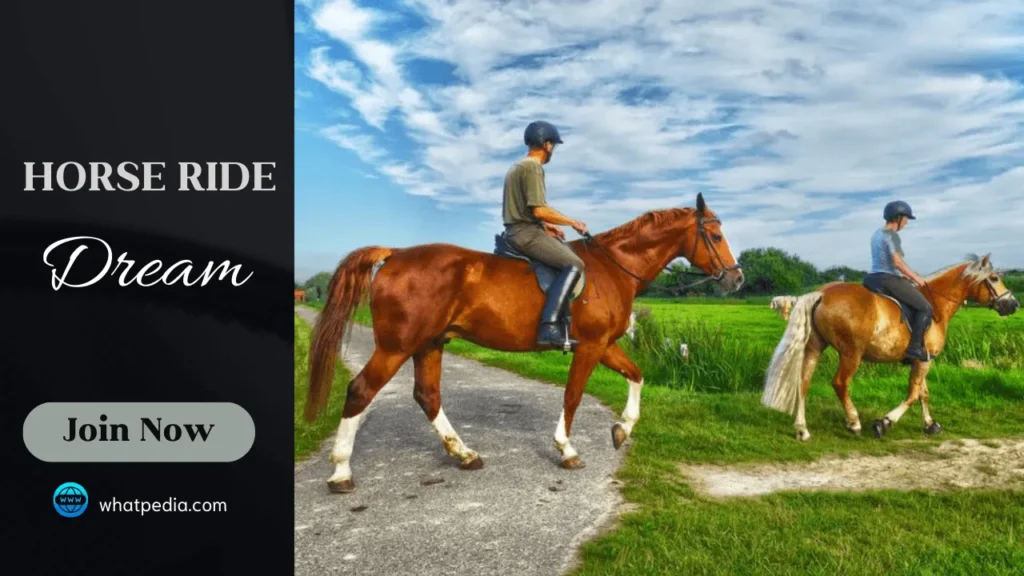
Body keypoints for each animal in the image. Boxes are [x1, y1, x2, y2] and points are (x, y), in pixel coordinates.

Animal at [303, 192, 745, 494]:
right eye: (715, 234)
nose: (737, 278)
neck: (612, 269)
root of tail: (394, 254)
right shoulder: (590, 346)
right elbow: (572, 395)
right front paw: (566, 450)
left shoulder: (604, 345)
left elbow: (636, 376)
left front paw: (622, 429)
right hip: (397, 347)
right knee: (361, 391)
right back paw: (341, 471)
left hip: (429, 344)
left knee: (427, 395)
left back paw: (465, 454)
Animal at [761, 252, 1015, 438]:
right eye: (994, 278)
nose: (1013, 304)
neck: (936, 305)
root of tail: (821, 293)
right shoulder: (925, 361)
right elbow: (913, 394)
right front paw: (884, 422)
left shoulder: (921, 359)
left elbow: (923, 393)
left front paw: (930, 424)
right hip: (851, 353)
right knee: (840, 383)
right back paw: (854, 422)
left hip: (815, 348)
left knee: (803, 382)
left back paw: (802, 429)